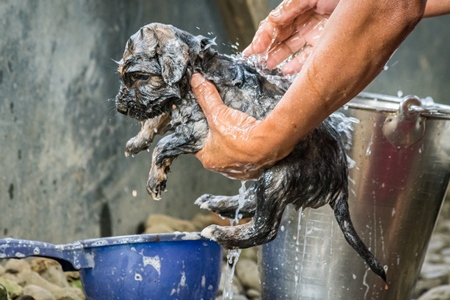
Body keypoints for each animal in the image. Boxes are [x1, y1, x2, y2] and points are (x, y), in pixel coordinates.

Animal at [114, 22, 384, 282]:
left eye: (139, 76)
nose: (119, 108)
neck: (197, 69)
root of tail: (340, 178)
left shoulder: (200, 131)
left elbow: (164, 144)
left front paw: (154, 180)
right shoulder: (177, 111)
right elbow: (158, 118)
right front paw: (136, 142)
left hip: (279, 177)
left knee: (265, 227)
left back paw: (219, 232)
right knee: (253, 202)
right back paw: (217, 203)